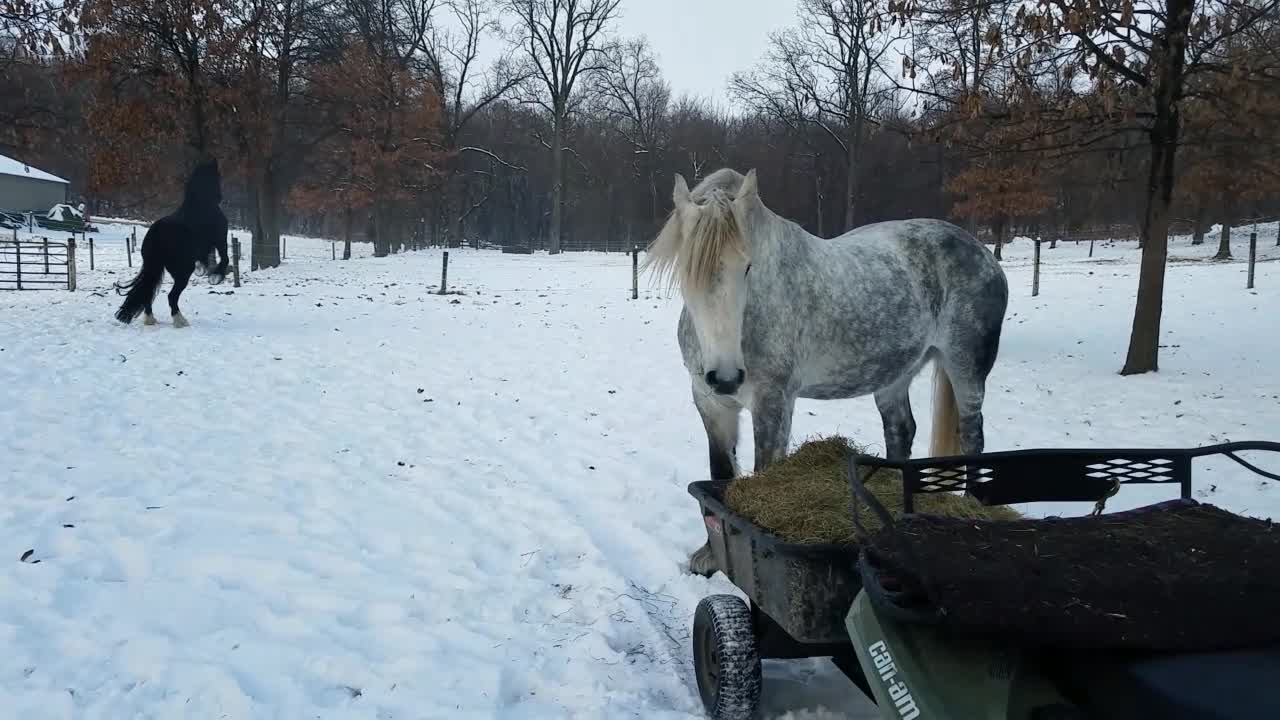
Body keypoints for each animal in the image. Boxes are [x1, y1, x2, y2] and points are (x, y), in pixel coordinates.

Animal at [115, 158, 230, 326]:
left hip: (155, 267)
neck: (201, 205)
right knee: (171, 296)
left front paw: (203, 270)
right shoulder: (220, 241)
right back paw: (180, 320)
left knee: (148, 291)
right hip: (182, 272)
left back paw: (150, 319)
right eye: (217, 175)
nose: (220, 196)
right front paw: (215, 277)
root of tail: (156, 232)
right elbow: (225, 259)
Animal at [650, 166, 1008, 571]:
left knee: (972, 436)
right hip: (895, 374)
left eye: (748, 267)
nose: (726, 376)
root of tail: (982, 253)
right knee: (902, 429)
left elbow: (763, 471)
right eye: (686, 270)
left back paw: (973, 509)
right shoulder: (709, 401)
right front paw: (711, 556)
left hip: (966, 368)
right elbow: (721, 470)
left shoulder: (773, 402)